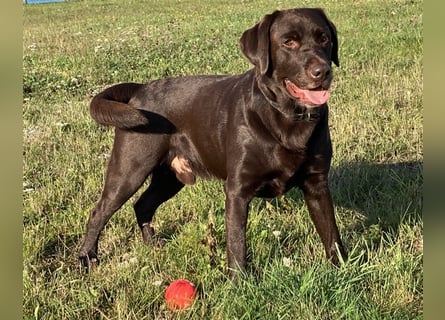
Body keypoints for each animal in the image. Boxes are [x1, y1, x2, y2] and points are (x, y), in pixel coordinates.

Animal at [81, 8, 348, 276]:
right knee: (99, 212)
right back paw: (87, 258)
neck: (286, 117)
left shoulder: (316, 184)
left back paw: (152, 245)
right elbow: (237, 244)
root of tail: (141, 88)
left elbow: (332, 234)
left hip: (169, 178)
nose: (323, 71)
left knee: (143, 205)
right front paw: (240, 282)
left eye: (324, 38)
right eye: (288, 42)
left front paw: (343, 270)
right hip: (129, 170)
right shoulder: (237, 190)